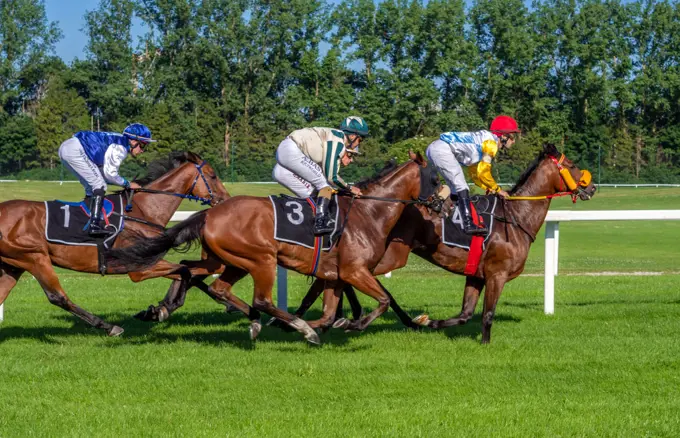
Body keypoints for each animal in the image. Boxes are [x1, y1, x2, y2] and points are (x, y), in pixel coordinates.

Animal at [0, 152, 230, 338]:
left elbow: (187, 273)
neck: (142, 211)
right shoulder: (139, 268)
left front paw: (157, 310)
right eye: (212, 175)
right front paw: (161, 310)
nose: (226, 199)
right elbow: (184, 271)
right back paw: (109, 327)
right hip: (34, 258)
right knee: (58, 297)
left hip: (13, 265)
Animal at [103, 156, 438, 344]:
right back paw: (291, 326)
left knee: (201, 276)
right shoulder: (354, 271)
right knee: (260, 299)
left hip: (230, 261)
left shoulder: (334, 276)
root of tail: (210, 213)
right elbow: (383, 300)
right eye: (435, 178)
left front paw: (333, 322)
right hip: (261, 259)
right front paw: (352, 324)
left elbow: (329, 313)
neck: (369, 213)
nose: (442, 203)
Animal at [290, 144, 596, 342]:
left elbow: (465, 314)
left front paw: (432, 322)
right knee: (343, 277)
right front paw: (485, 344)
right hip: (387, 255)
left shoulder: (477, 275)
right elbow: (487, 315)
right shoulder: (496, 274)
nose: (591, 187)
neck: (514, 218)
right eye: (571, 165)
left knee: (338, 277)